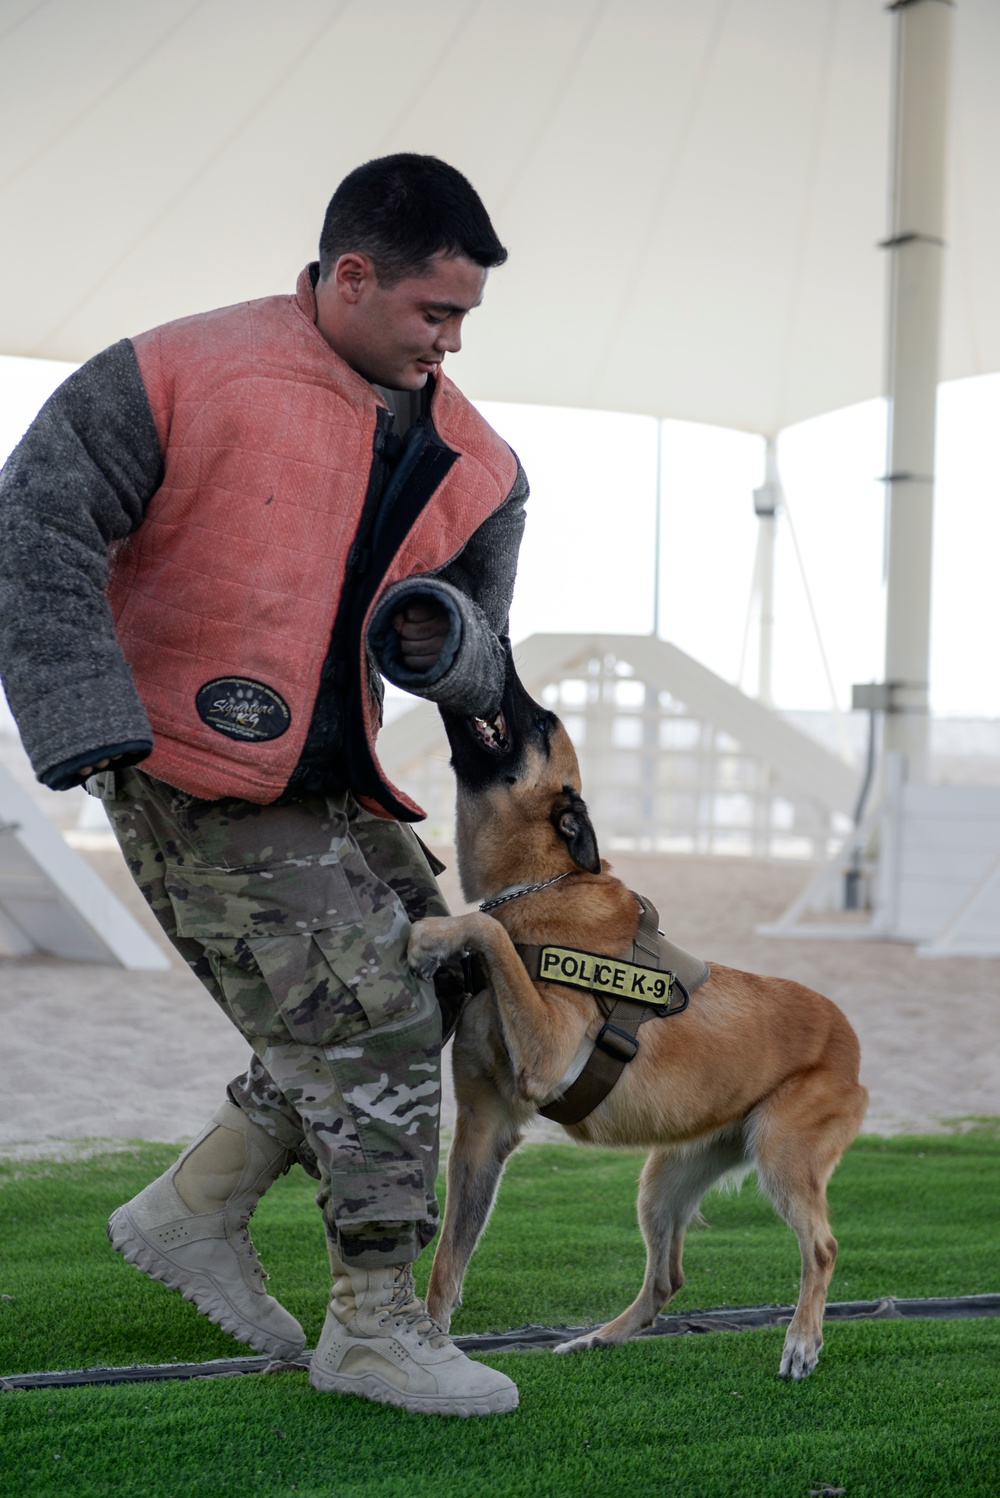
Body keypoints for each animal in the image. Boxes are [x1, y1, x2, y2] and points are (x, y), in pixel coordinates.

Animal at [407, 656, 868, 1378]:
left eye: (543, 721)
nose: (501, 650)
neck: (543, 885)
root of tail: (847, 1037)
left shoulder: (548, 1055)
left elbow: (487, 929)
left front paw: (433, 936)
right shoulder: (484, 1131)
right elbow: (448, 1263)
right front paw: (433, 1346)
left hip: (781, 1157)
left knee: (820, 1248)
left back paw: (801, 1342)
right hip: (663, 1180)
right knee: (666, 1278)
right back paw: (596, 1339)